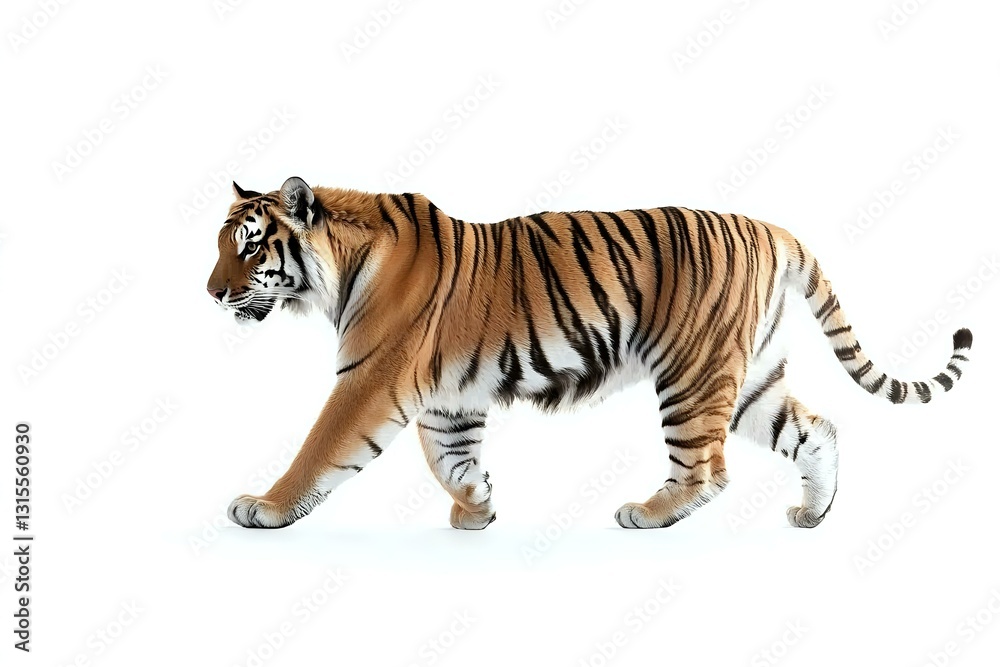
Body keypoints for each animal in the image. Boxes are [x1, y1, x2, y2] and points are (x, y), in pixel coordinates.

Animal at [207, 176, 973, 530]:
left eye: (248, 245)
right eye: (222, 243)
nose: (211, 293)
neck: (336, 267)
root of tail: (770, 228)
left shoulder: (369, 380)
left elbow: (319, 448)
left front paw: (264, 507)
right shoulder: (448, 401)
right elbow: (451, 461)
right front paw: (478, 508)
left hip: (691, 375)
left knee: (709, 469)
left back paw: (649, 513)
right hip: (751, 377)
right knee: (819, 429)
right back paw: (813, 514)